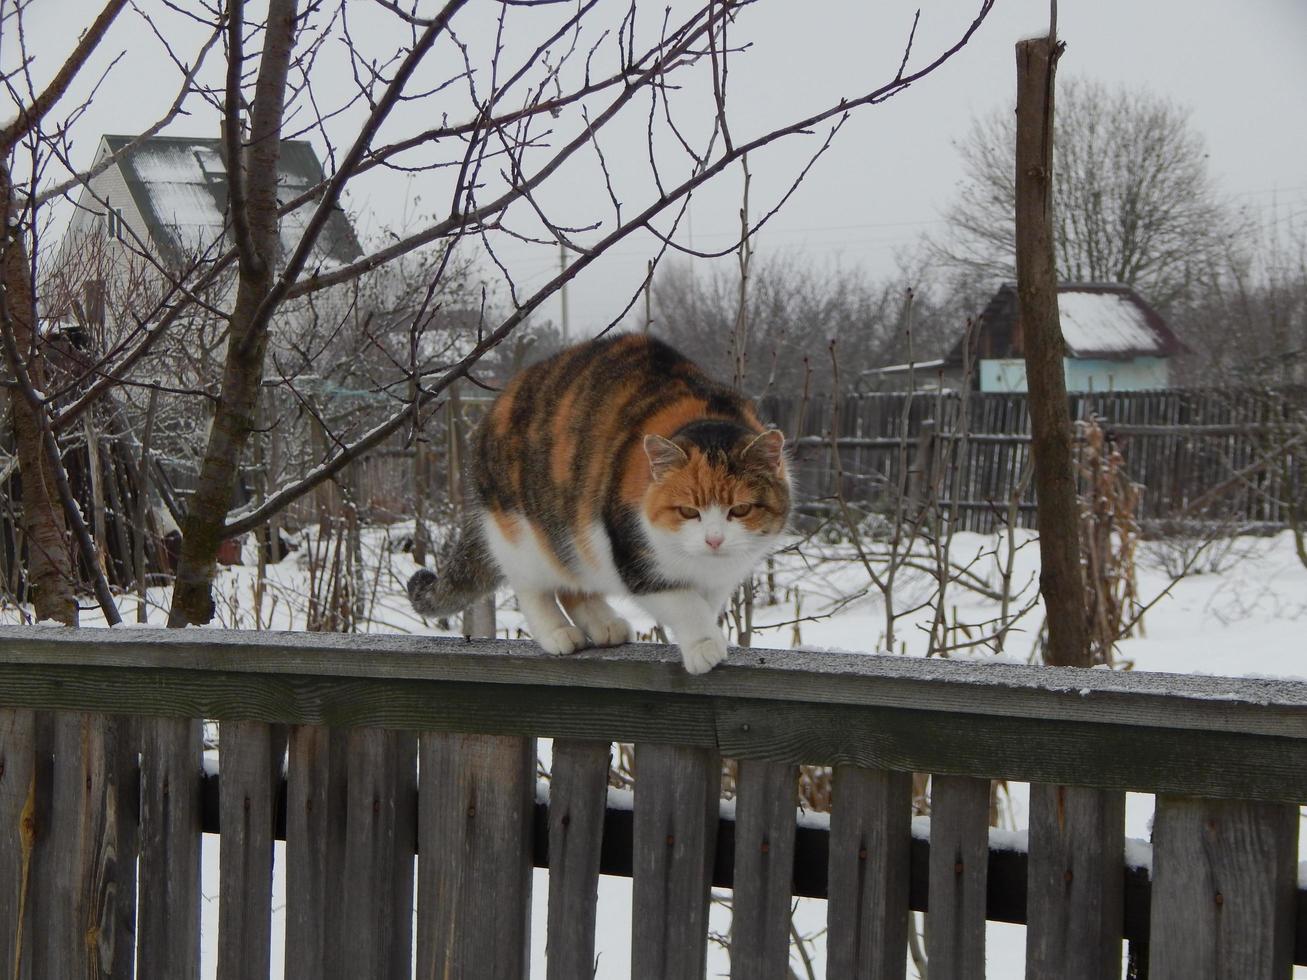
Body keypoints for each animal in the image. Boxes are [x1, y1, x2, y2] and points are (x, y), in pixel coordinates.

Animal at [402, 334, 789, 674]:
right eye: (688, 511)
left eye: (740, 510)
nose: (714, 540)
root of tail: (496, 406)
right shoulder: (635, 559)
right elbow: (684, 603)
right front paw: (704, 645)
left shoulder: (723, 576)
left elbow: (705, 602)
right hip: (524, 532)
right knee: (532, 586)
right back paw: (557, 632)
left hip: (572, 540)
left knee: (572, 583)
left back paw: (605, 625)